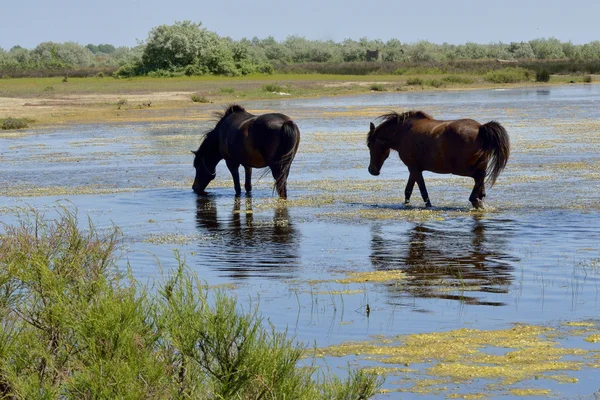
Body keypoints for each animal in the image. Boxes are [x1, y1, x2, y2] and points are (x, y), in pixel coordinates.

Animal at [368, 110, 508, 209]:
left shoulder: (414, 169)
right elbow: (408, 191)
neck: (402, 133)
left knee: (479, 176)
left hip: (461, 169)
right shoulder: (414, 169)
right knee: (481, 179)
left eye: (369, 145)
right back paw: (478, 199)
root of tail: (480, 128)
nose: (371, 170)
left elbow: (423, 191)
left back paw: (474, 198)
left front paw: (428, 206)